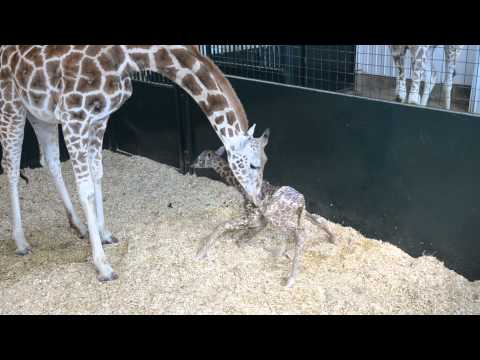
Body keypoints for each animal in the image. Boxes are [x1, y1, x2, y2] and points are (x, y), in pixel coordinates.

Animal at [0, 45, 270, 282]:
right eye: (254, 165)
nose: (258, 199)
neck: (125, 57)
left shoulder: (99, 118)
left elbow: (97, 174)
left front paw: (104, 234)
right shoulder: (73, 118)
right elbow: (85, 189)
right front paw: (103, 266)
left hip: (39, 112)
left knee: (51, 160)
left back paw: (77, 225)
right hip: (10, 103)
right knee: (11, 165)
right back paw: (21, 242)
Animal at [191, 143, 334, 286]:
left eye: (199, 159)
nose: (191, 165)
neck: (240, 187)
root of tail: (301, 202)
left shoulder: (252, 214)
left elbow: (223, 225)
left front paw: (200, 253)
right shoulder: (260, 218)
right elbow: (250, 231)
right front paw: (240, 242)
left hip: (278, 217)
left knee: (298, 234)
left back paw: (288, 277)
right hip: (300, 214)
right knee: (316, 221)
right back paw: (333, 239)